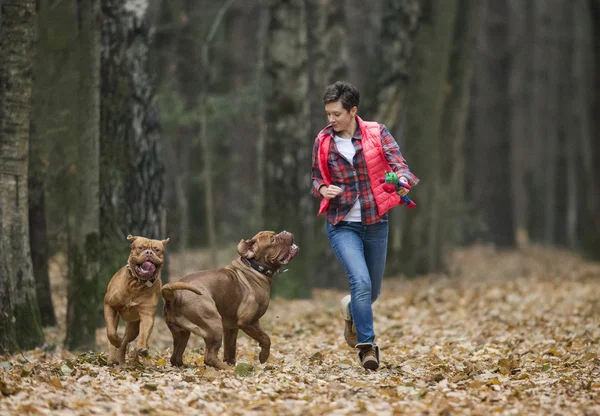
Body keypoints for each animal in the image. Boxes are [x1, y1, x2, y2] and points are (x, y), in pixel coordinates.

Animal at [103, 234, 169, 364]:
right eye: (140, 247)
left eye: (157, 250)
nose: (149, 252)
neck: (137, 283)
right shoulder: (109, 305)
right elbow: (111, 333)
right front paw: (116, 341)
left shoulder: (147, 313)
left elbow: (144, 331)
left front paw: (142, 347)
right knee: (113, 335)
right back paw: (112, 358)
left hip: (133, 326)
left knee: (126, 341)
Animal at [161, 231, 298, 370]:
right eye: (273, 240)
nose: (285, 232)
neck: (255, 268)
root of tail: (176, 295)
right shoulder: (248, 322)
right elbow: (265, 338)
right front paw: (263, 356)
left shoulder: (231, 328)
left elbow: (230, 348)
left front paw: (231, 362)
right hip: (214, 325)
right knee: (209, 357)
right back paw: (226, 369)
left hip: (182, 333)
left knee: (175, 356)